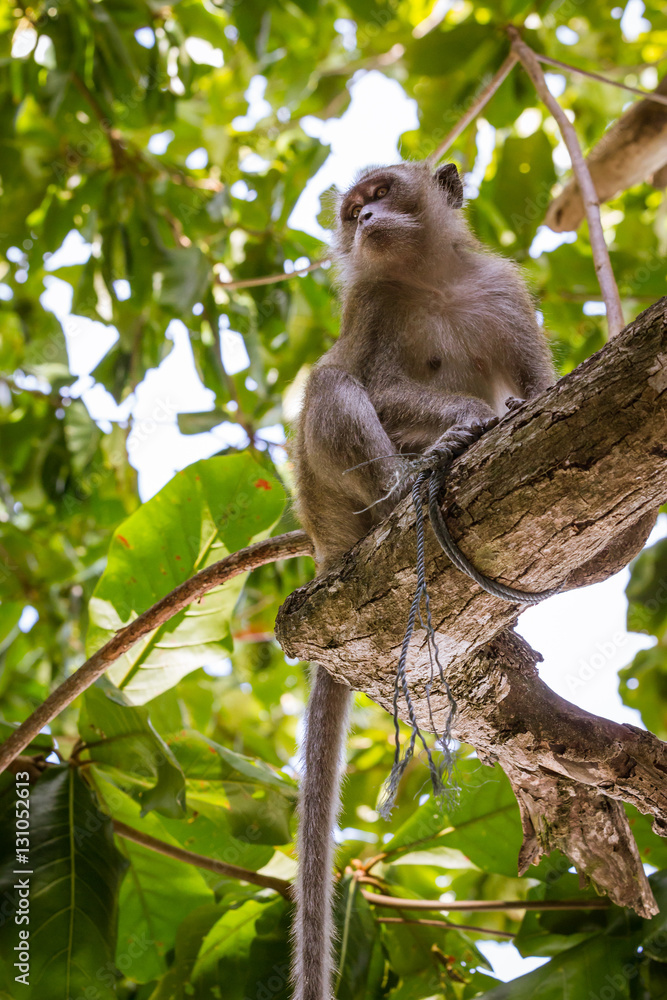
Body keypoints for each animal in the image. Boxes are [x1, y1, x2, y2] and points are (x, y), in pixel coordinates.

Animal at [290, 160, 555, 1000]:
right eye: (352, 210)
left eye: (380, 191)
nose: (367, 218)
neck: (432, 281)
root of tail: (324, 547)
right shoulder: (371, 304)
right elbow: (369, 382)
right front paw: (466, 415)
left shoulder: (505, 292)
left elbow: (539, 384)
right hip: (327, 501)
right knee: (331, 385)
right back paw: (405, 487)